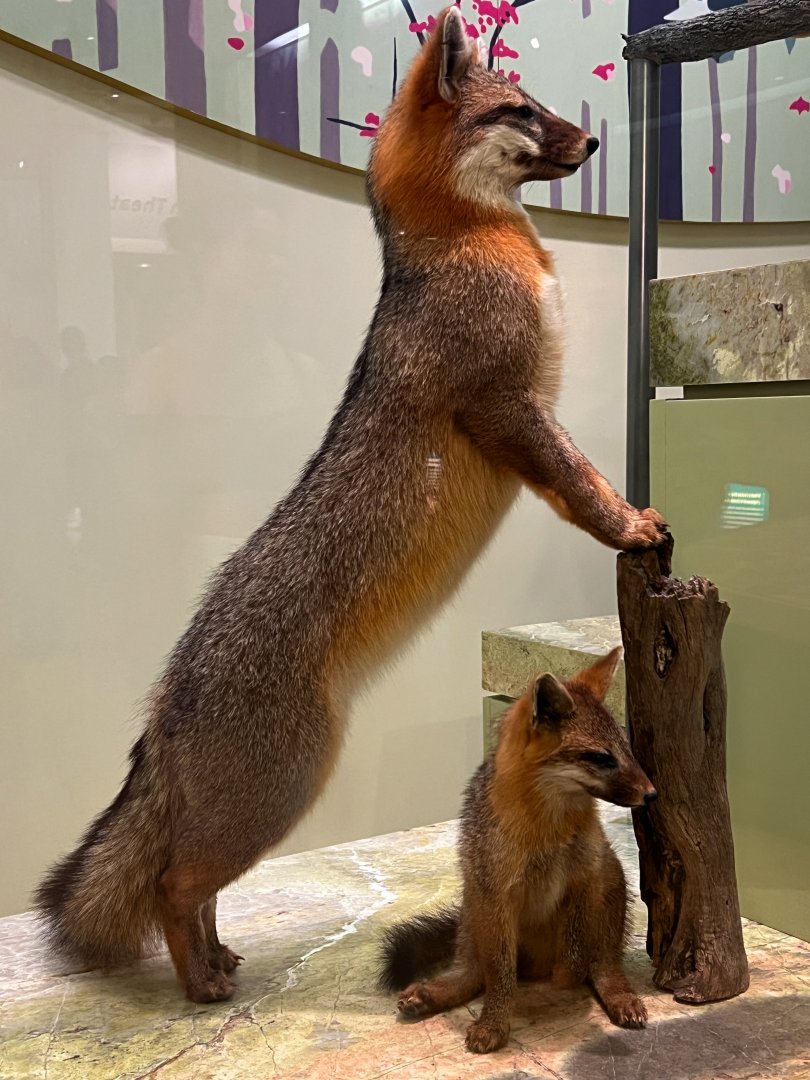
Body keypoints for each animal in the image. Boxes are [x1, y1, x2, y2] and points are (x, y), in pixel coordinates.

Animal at [36, 6, 666, 1006]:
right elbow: (580, 483)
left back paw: (217, 959)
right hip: (280, 794)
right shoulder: (508, 409)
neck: (469, 245)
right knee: (174, 882)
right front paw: (631, 525)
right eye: (523, 110)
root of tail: (171, 689)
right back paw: (200, 984)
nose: (598, 141)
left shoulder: (518, 409)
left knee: (193, 885)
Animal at [379, 647, 657, 1054]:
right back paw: (437, 993)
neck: (547, 831)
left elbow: (577, 952)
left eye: (627, 749)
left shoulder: (585, 876)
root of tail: (535, 966)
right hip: (474, 904)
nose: (652, 794)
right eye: (601, 758)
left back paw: (615, 993)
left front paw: (568, 978)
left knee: (604, 962)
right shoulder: (496, 894)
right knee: (476, 971)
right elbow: (499, 976)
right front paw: (493, 1024)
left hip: (611, 881)